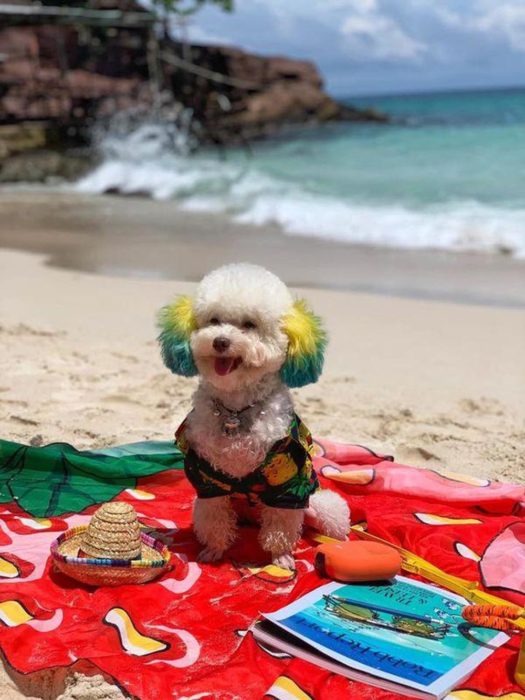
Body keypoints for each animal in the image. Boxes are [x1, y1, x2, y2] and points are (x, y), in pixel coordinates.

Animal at [158, 262, 350, 568]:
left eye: (250, 324)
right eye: (213, 320)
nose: (220, 341)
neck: (236, 408)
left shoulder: (288, 482)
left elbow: (281, 525)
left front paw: (279, 555)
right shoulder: (207, 479)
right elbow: (214, 519)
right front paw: (215, 549)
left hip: (316, 504)